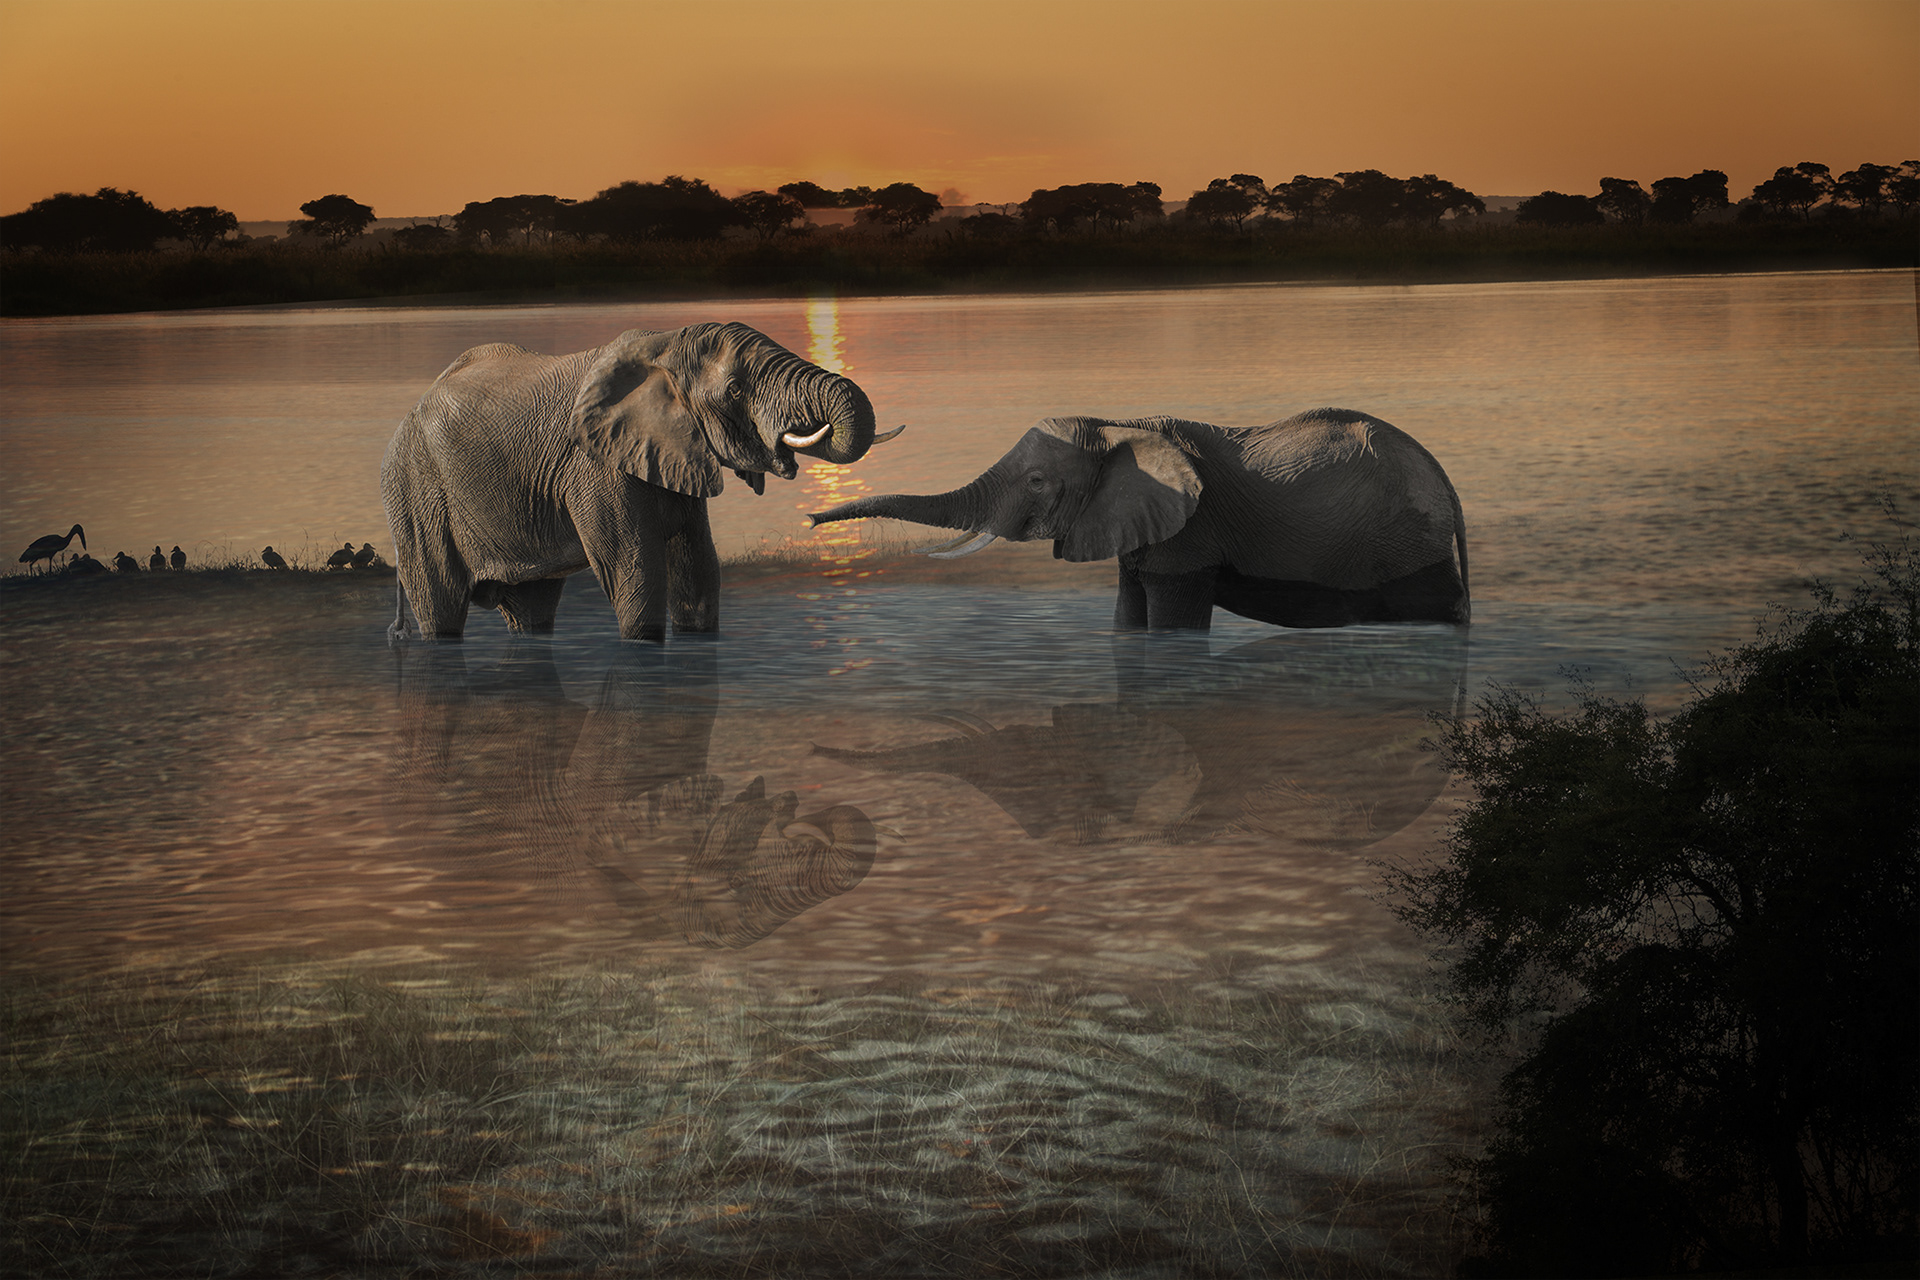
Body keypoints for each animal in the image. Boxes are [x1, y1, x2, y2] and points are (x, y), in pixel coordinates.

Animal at [382, 321, 897, 642]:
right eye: (734, 390)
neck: (667, 345)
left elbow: (699, 572)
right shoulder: (595, 464)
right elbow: (637, 572)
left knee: (531, 608)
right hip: (414, 487)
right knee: (441, 604)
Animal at [808, 408, 1468, 632]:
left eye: (1038, 482)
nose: (812, 520)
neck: (1116, 424)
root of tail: (1447, 481)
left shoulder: (1193, 531)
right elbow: (1128, 617)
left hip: (1405, 539)